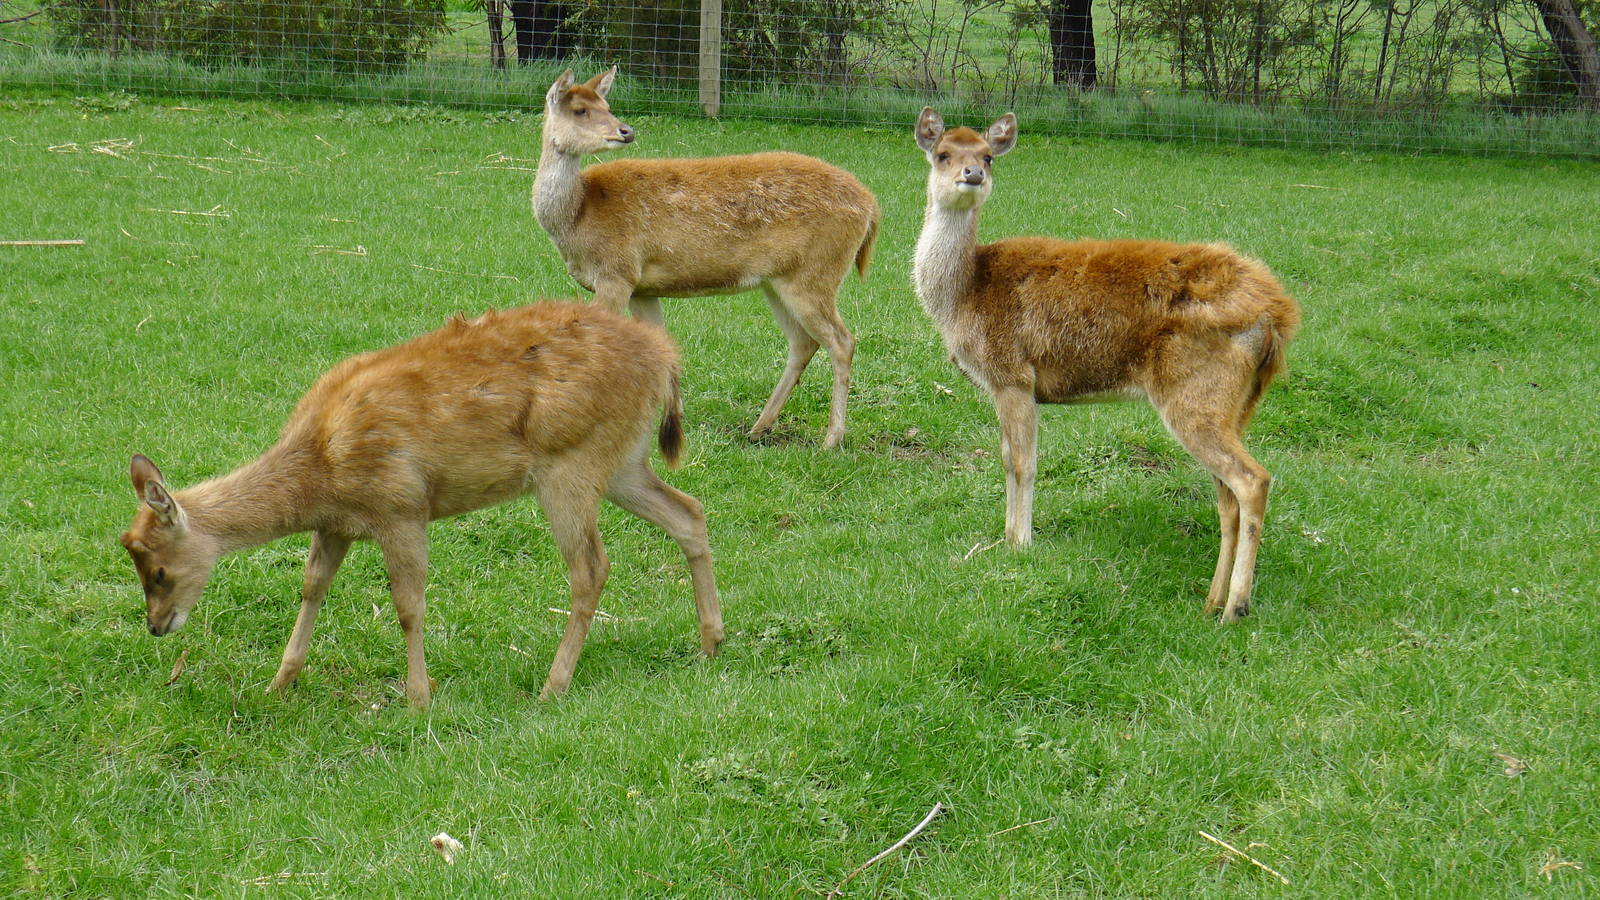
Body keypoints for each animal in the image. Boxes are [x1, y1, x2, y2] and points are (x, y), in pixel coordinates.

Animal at [118, 301, 723, 709]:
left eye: (159, 569)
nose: (156, 626)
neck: (319, 473)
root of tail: (665, 359)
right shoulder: (337, 525)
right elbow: (312, 586)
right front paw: (279, 682)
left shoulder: (401, 507)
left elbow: (409, 604)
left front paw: (418, 698)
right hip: (623, 461)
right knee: (689, 511)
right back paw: (711, 642)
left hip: (569, 466)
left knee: (591, 568)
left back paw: (553, 685)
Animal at [533, 67, 880, 450]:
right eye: (581, 109)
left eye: (606, 106)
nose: (626, 130)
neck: (578, 217)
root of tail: (870, 207)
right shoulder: (642, 288)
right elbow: (663, 345)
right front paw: (670, 421)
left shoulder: (616, 273)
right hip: (779, 281)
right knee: (804, 342)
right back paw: (759, 427)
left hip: (816, 273)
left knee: (842, 341)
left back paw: (832, 438)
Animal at [912, 108, 1301, 623]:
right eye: (943, 153)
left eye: (988, 156)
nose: (971, 174)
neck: (962, 295)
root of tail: (1279, 316)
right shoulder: (1002, 384)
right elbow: (1005, 457)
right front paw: (1007, 536)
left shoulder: (1013, 374)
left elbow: (1023, 462)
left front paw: (1019, 543)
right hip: (1237, 403)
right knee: (1228, 496)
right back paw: (1211, 601)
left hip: (1195, 390)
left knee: (1252, 480)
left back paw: (1234, 608)